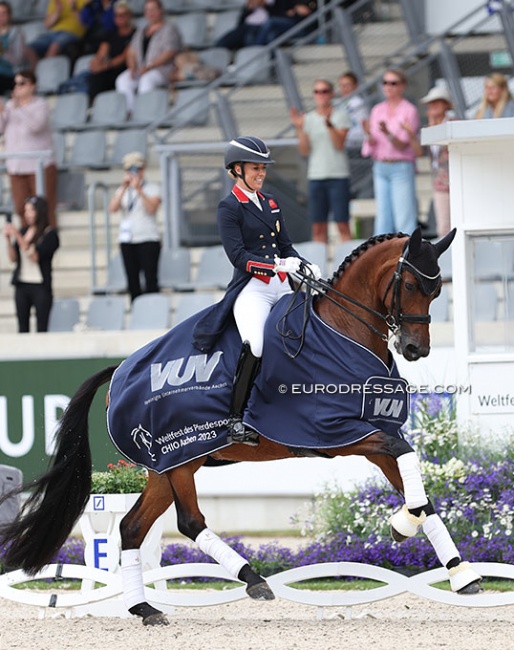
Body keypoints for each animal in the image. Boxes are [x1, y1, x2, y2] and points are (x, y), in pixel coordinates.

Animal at [0, 228, 480, 624]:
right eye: (413, 285)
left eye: (437, 289)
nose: (416, 348)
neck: (341, 330)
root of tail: (121, 369)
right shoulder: (338, 432)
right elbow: (406, 461)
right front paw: (404, 526)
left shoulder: (377, 434)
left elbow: (420, 490)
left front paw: (456, 569)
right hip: (178, 461)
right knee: (190, 521)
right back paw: (252, 579)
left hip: (169, 464)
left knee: (132, 527)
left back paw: (144, 608)